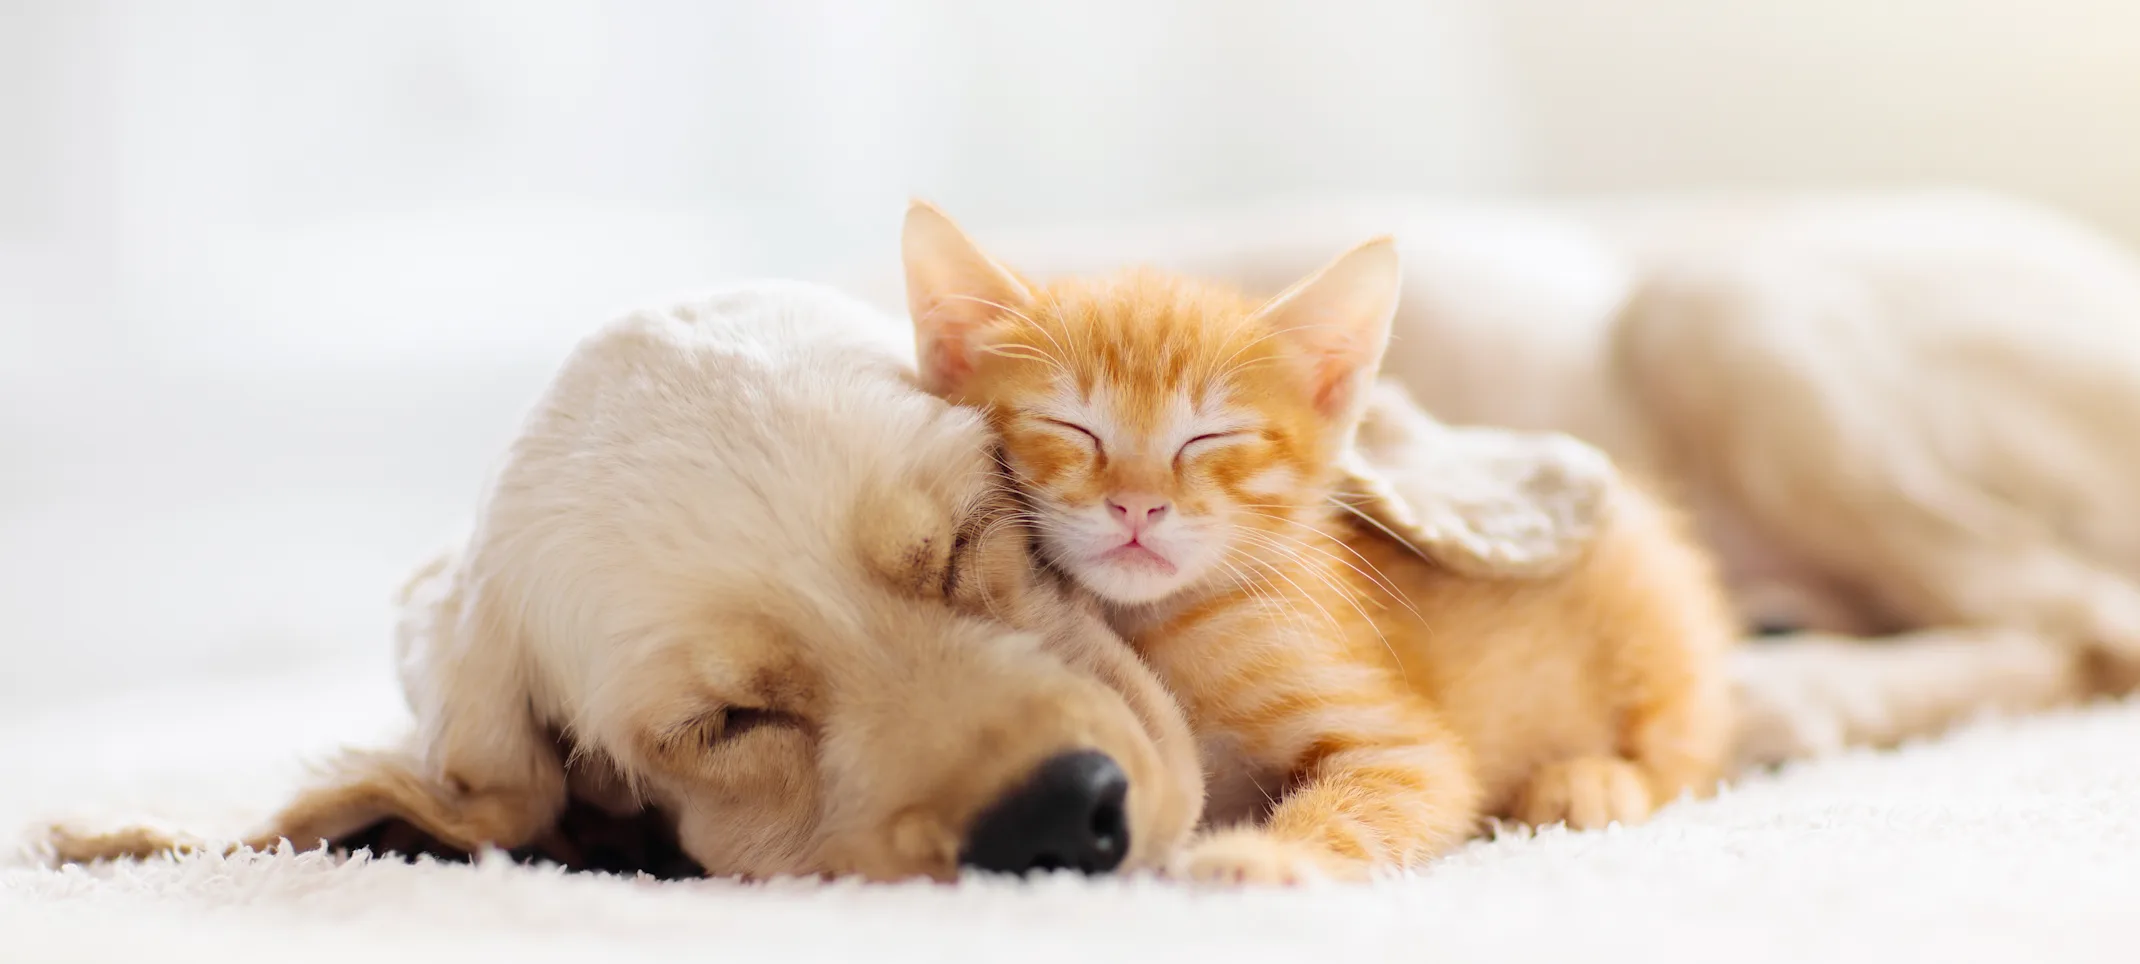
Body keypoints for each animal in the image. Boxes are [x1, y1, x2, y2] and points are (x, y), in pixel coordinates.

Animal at [903, 203, 1737, 886]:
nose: (1137, 503)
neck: (1158, 625)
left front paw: (1264, 856)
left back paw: (1593, 779)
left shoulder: (1403, 747)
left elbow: (1372, 799)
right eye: (1071, 427)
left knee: (1689, 750)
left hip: (1651, 613)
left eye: (1210, 438)